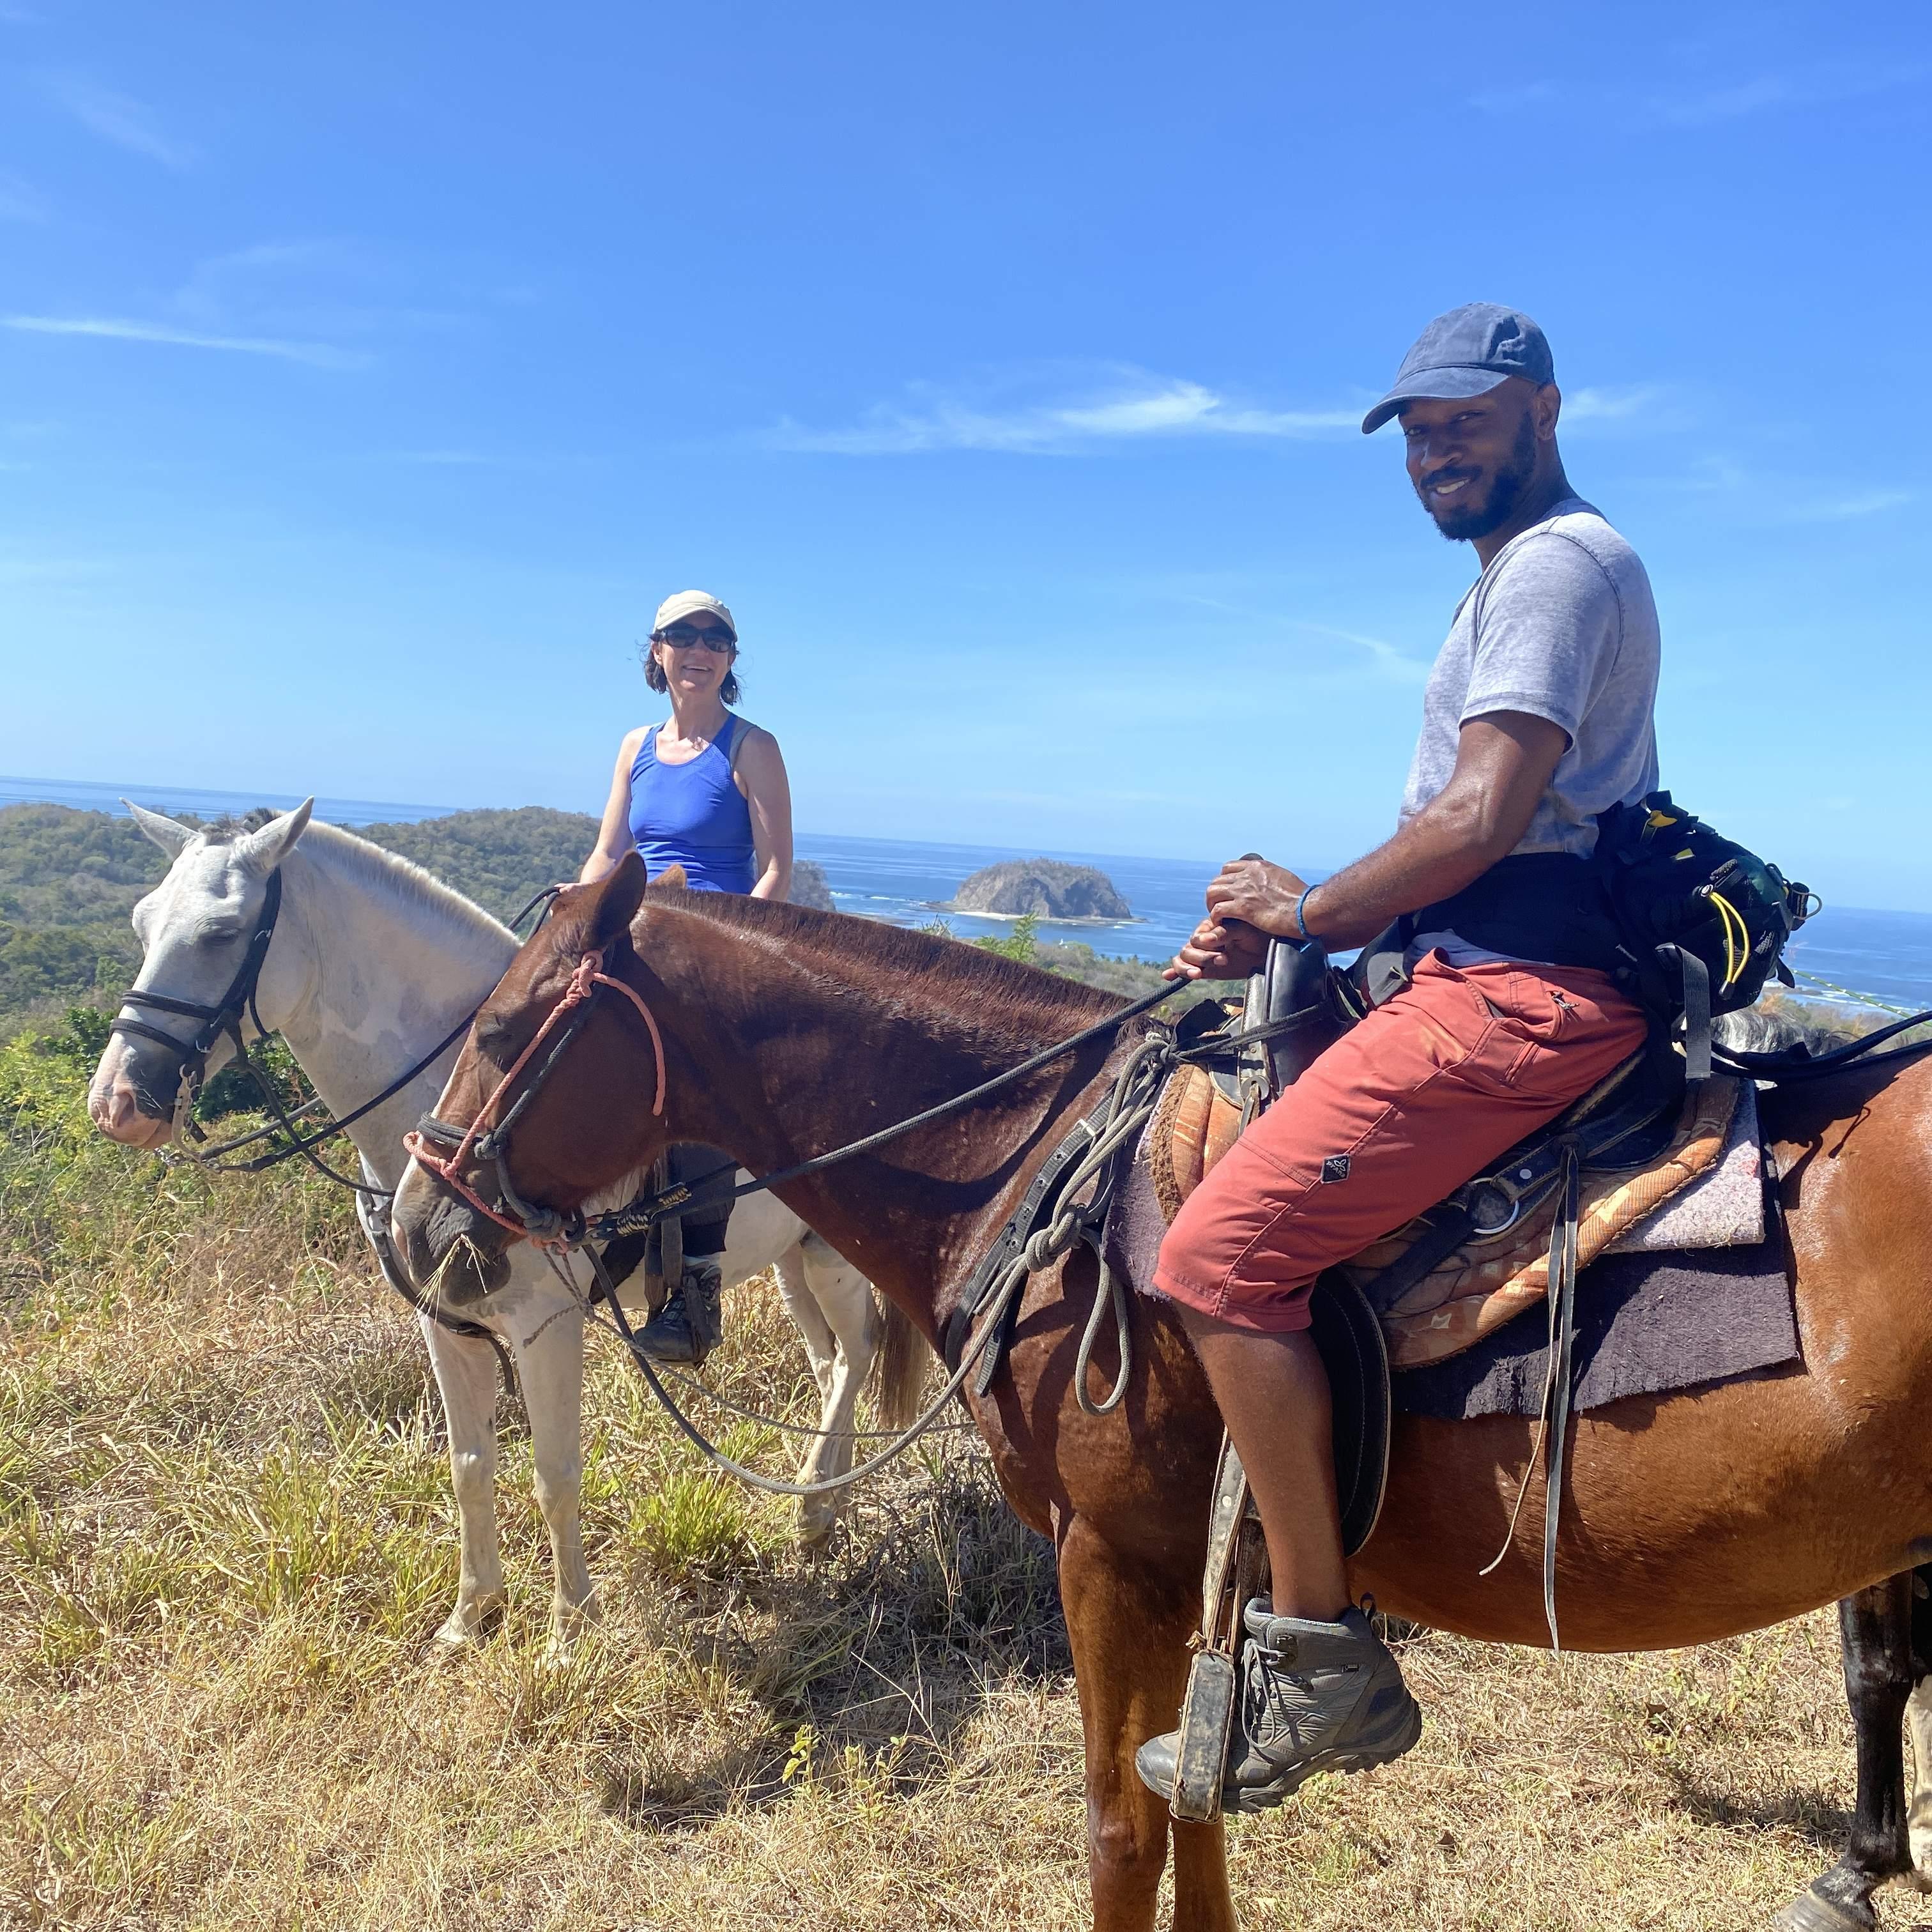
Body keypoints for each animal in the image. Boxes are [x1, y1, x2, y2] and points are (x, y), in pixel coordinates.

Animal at [91, 799, 927, 1646]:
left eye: (222, 933)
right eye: (142, 923)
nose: (120, 1103)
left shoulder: (542, 1323)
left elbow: (554, 1474)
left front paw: (568, 1630)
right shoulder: (444, 1322)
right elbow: (470, 1467)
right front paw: (472, 1616)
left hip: (834, 1257)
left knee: (856, 1355)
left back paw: (816, 1513)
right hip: (789, 1260)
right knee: (830, 1365)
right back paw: (827, 1497)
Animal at [384, 861, 1932, 1932]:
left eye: (504, 1029)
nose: (415, 1231)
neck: (1042, 1160)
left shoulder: (1115, 1552)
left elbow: (1123, 1825)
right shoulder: (1211, 1565)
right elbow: (1193, 1810)